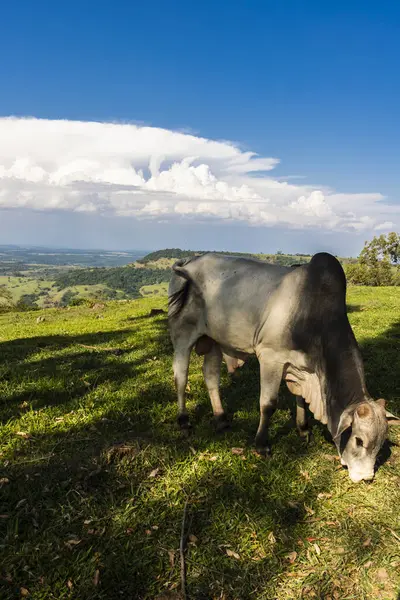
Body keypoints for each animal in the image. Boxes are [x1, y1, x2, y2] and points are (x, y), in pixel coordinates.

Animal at [168, 251, 400, 486]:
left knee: (211, 376)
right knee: (181, 376)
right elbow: (268, 404)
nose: (366, 478)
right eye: (359, 440)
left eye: (380, 444)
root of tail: (190, 261)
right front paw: (262, 445)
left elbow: (300, 399)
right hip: (182, 334)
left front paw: (303, 429)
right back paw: (184, 420)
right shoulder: (270, 357)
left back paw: (221, 418)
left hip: (214, 341)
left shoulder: (300, 367)